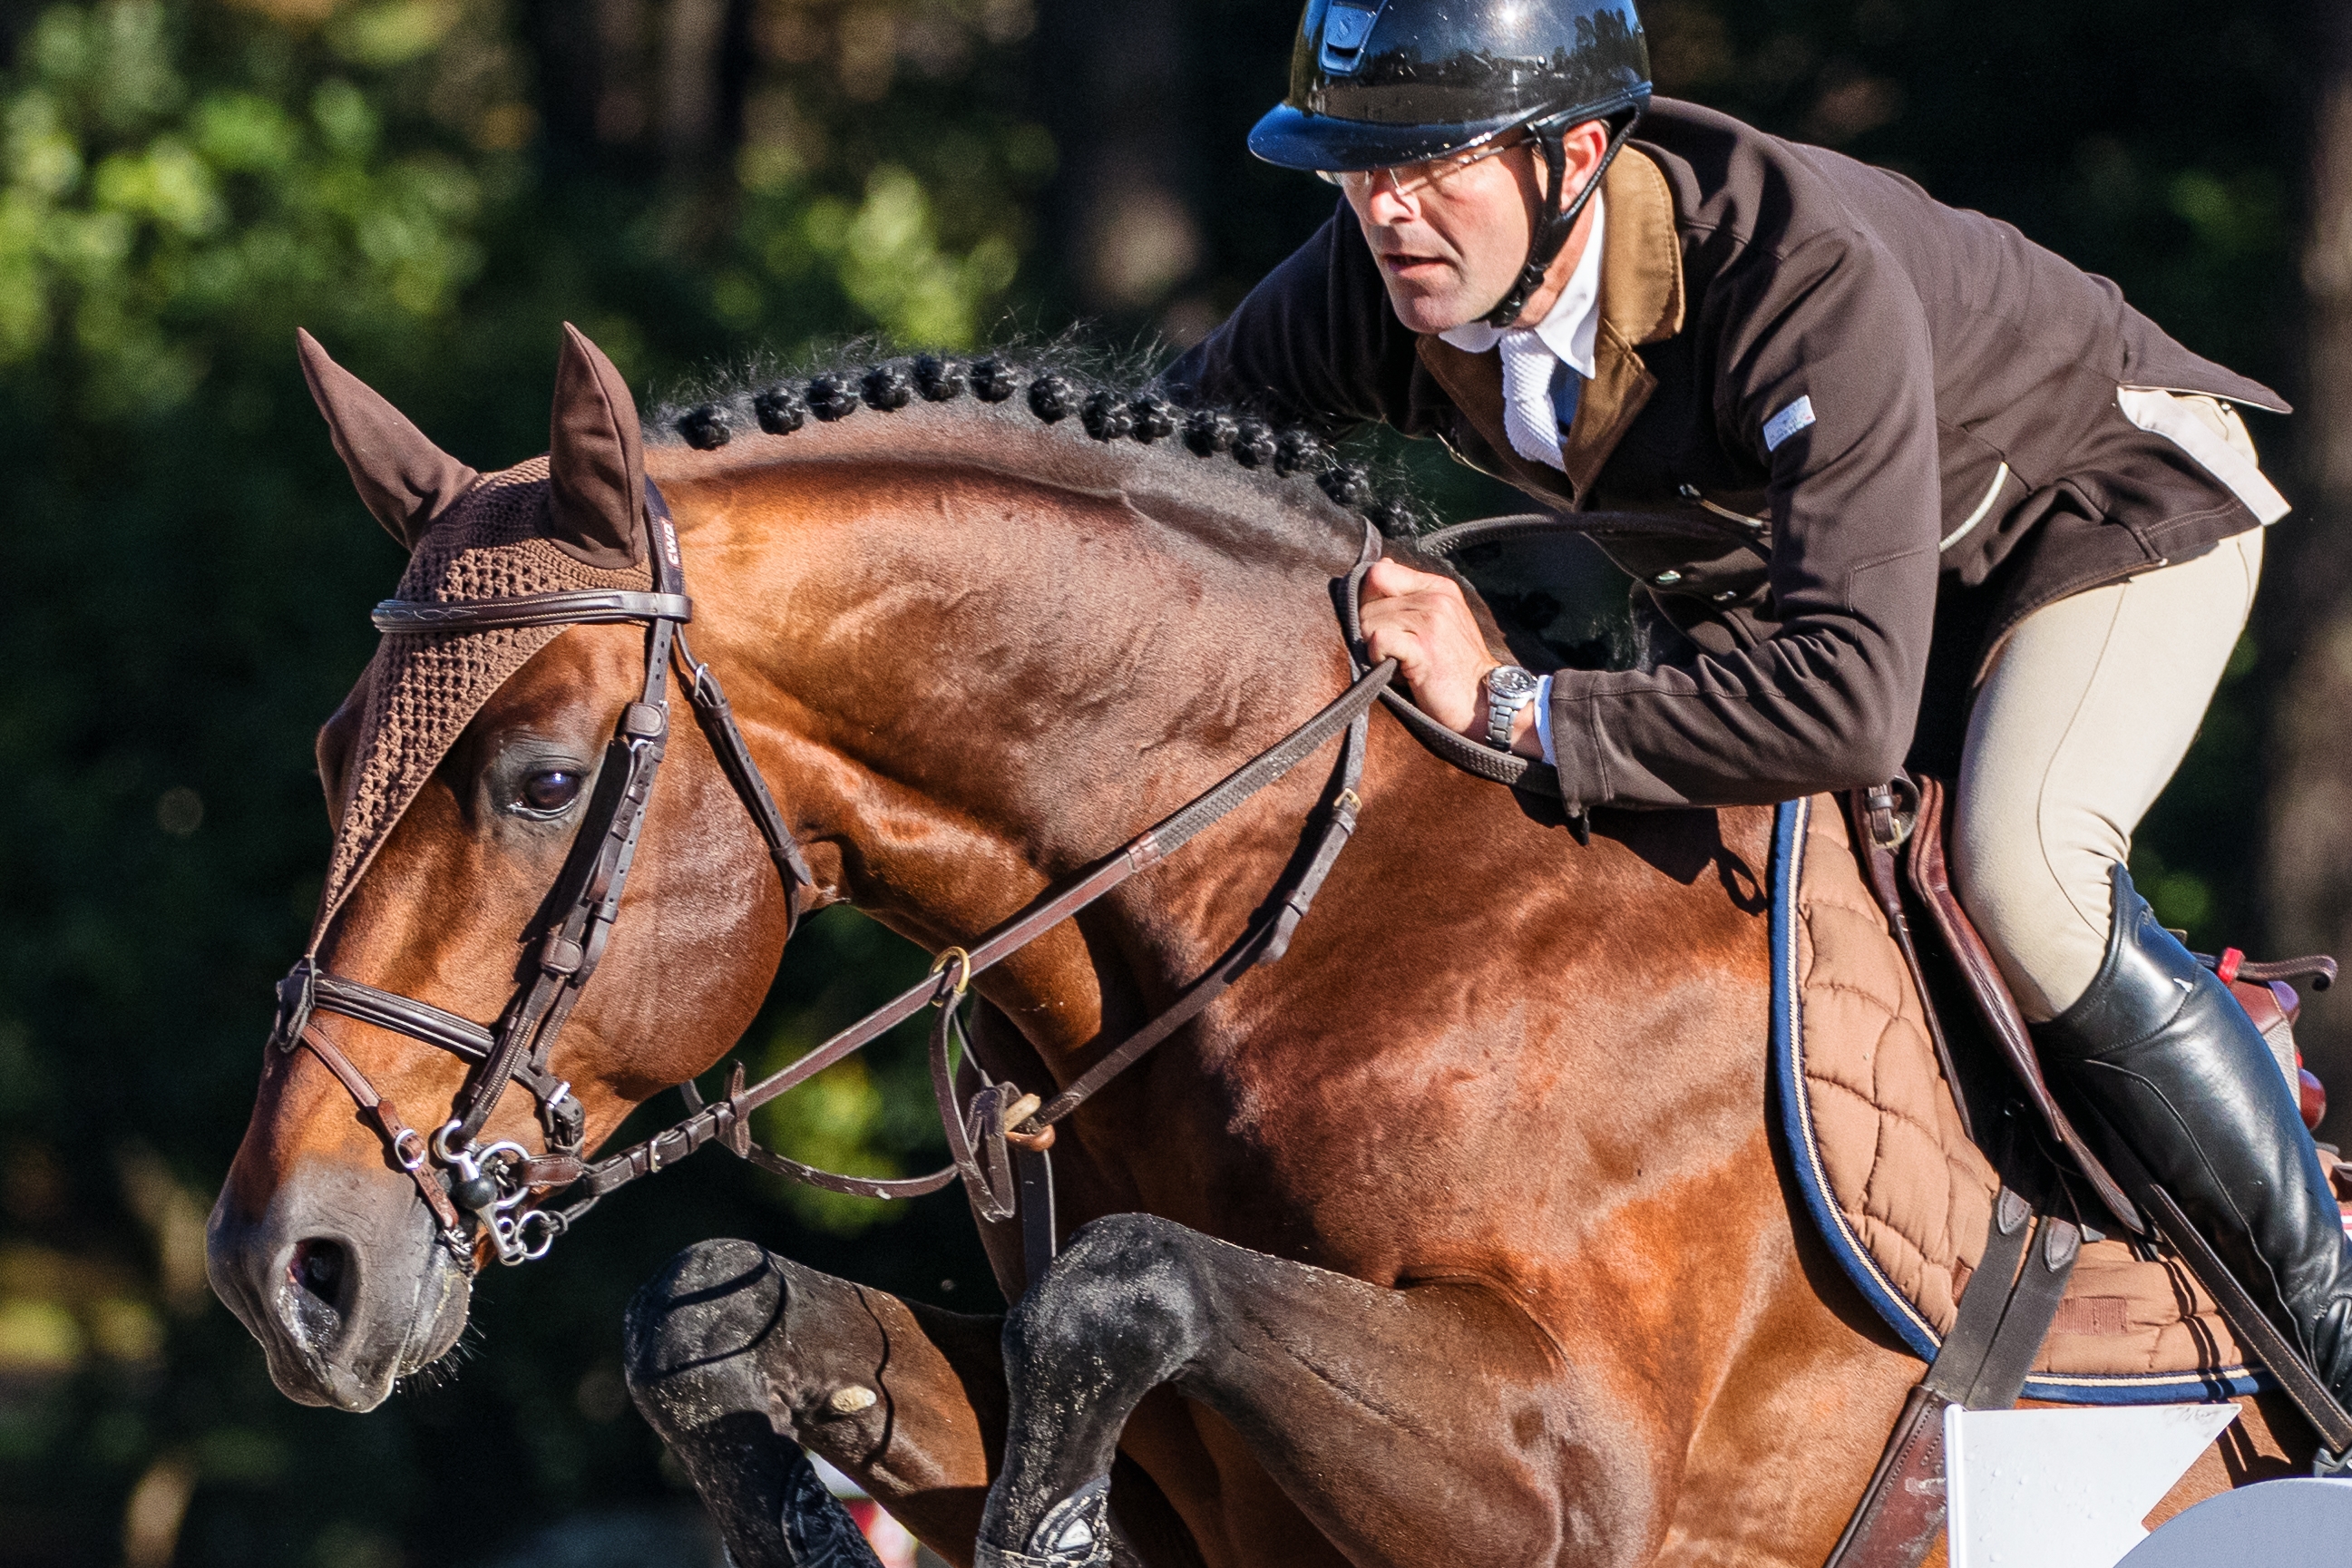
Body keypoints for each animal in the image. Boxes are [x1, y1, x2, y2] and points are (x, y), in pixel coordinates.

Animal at [201, 324, 2295, 1561]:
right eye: (321, 756)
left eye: (542, 779)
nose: (286, 1270)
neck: (1286, 924)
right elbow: (711, 1309)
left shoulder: (1571, 1469)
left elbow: (1121, 1281)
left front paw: (1045, 1536)